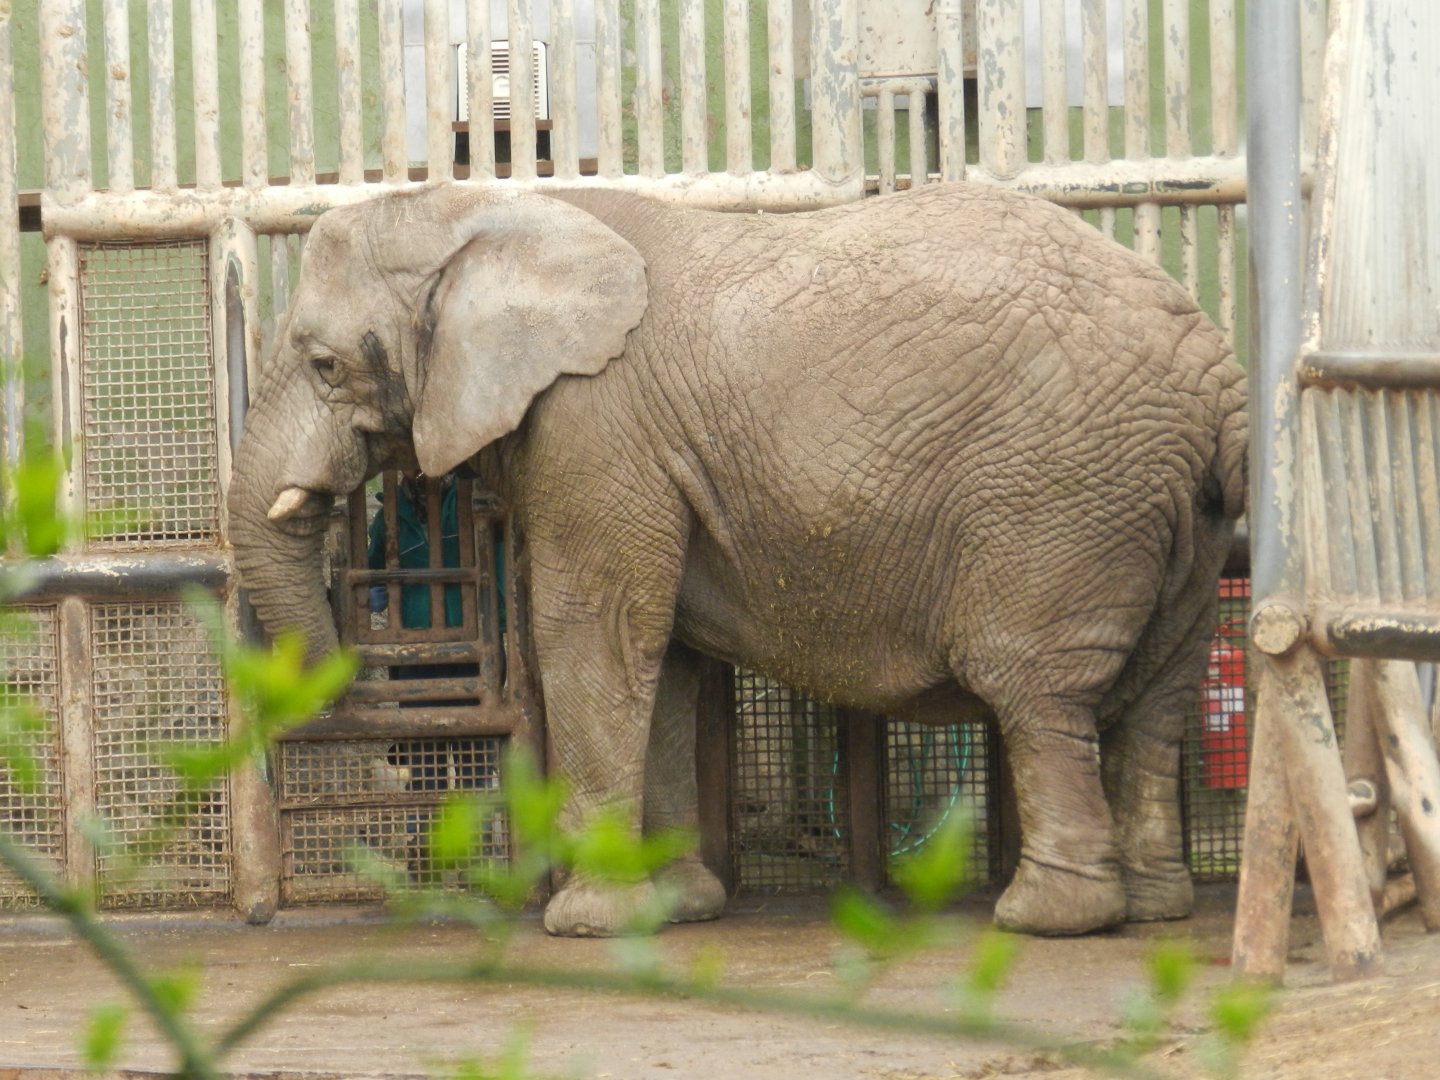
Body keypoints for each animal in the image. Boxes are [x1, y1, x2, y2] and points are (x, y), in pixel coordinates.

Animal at [228, 181, 1248, 938]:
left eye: (323, 365)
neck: (491, 208)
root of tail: (1216, 365)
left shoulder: (597, 426)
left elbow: (594, 632)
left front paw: (589, 923)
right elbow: (668, 660)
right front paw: (680, 906)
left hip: (1059, 499)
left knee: (1036, 691)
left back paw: (1048, 916)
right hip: (1178, 516)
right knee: (1156, 700)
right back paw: (1157, 905)